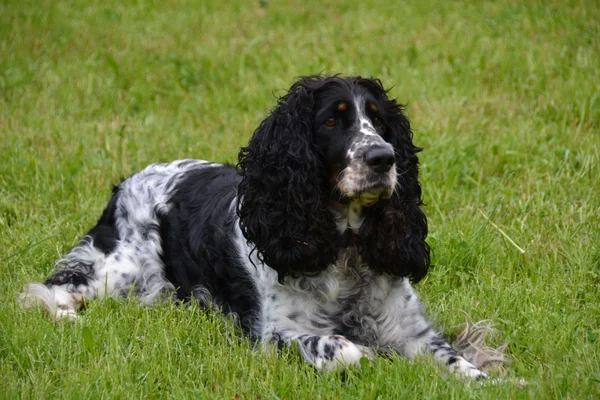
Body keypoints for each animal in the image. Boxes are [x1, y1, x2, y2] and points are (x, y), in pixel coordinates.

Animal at [21, 75, 494, 378]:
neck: (344, 249)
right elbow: (342, 349)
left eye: (379, 121)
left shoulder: (411, 331)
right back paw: (64, 315)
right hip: (120, 272)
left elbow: (459, 363)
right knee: (50, 286)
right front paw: (367, 356)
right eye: (331, 120)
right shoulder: (274, 335)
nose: (383, 158)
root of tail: (127, 182)